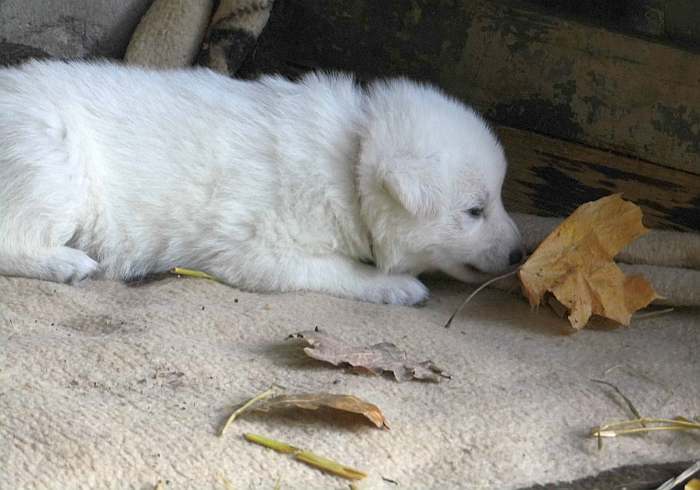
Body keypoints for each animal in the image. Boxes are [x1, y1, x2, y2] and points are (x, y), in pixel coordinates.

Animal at [0, 59, 524, 304]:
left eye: (497, 199)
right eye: (474, 211)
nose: (521, 254)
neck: (350, 160)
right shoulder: (257, 251)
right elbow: (337, 270)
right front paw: (395, 285)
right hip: (53, 167)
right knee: (12, 239)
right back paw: (65, 263)